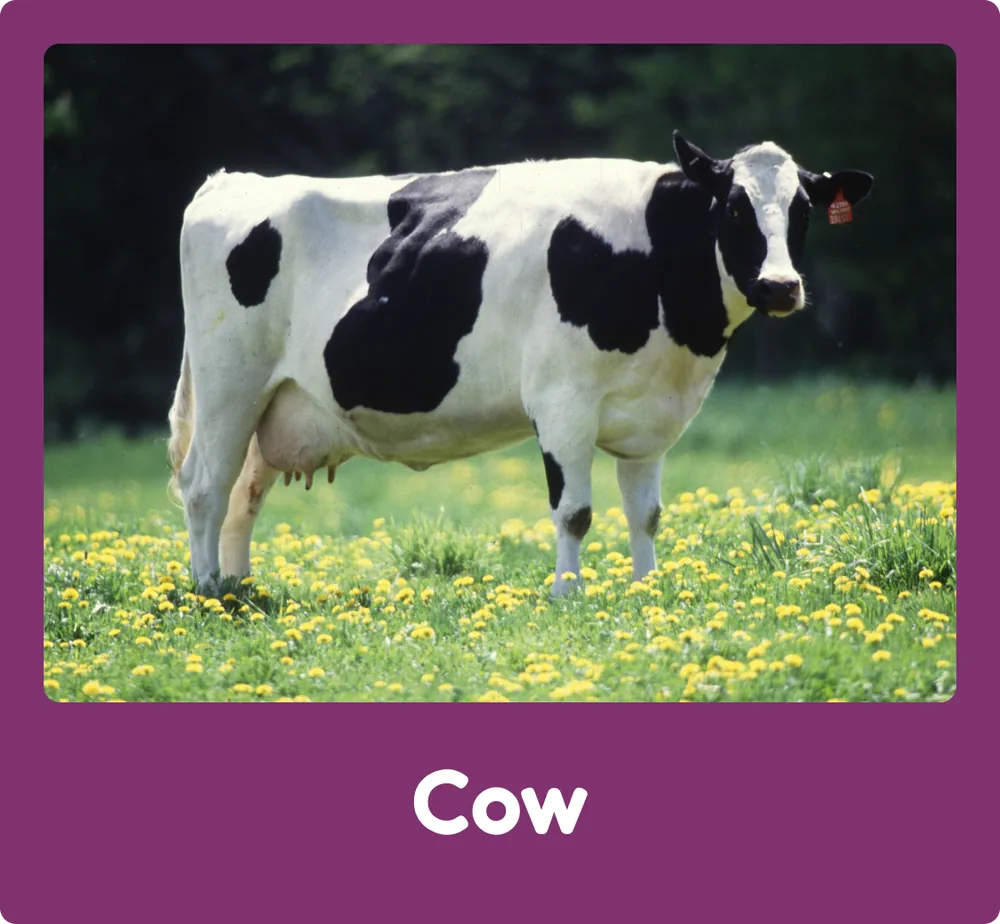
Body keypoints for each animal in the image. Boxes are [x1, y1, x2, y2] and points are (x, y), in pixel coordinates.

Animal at [168, 132, 873, 596]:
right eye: (733, 207)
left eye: (803, 210)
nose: (780, 286)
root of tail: (231, 181)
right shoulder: (563, 400)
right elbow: (575, 511)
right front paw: (568, 594)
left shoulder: (651, 416)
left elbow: (645, 512)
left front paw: (647, 589)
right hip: (229, 383)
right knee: (204, 485)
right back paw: (208, 592)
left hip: (274, 402)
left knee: (243, 494)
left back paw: (240, 588)